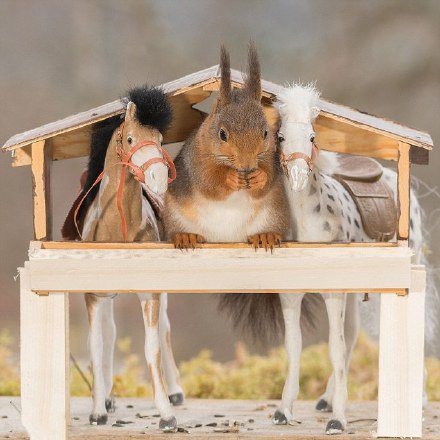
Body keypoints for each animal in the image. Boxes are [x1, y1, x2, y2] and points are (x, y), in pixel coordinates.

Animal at [162, 46, 288, 251]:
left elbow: (268, 180)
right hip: (174, 216)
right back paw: (185, 236)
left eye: (266, 133)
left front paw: (259, 176)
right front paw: (231, 178)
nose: (247, 166)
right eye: (222, 134)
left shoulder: (270, 158)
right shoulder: (196, 159)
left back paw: (265, 235)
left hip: (275, 214)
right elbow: (208, 182)